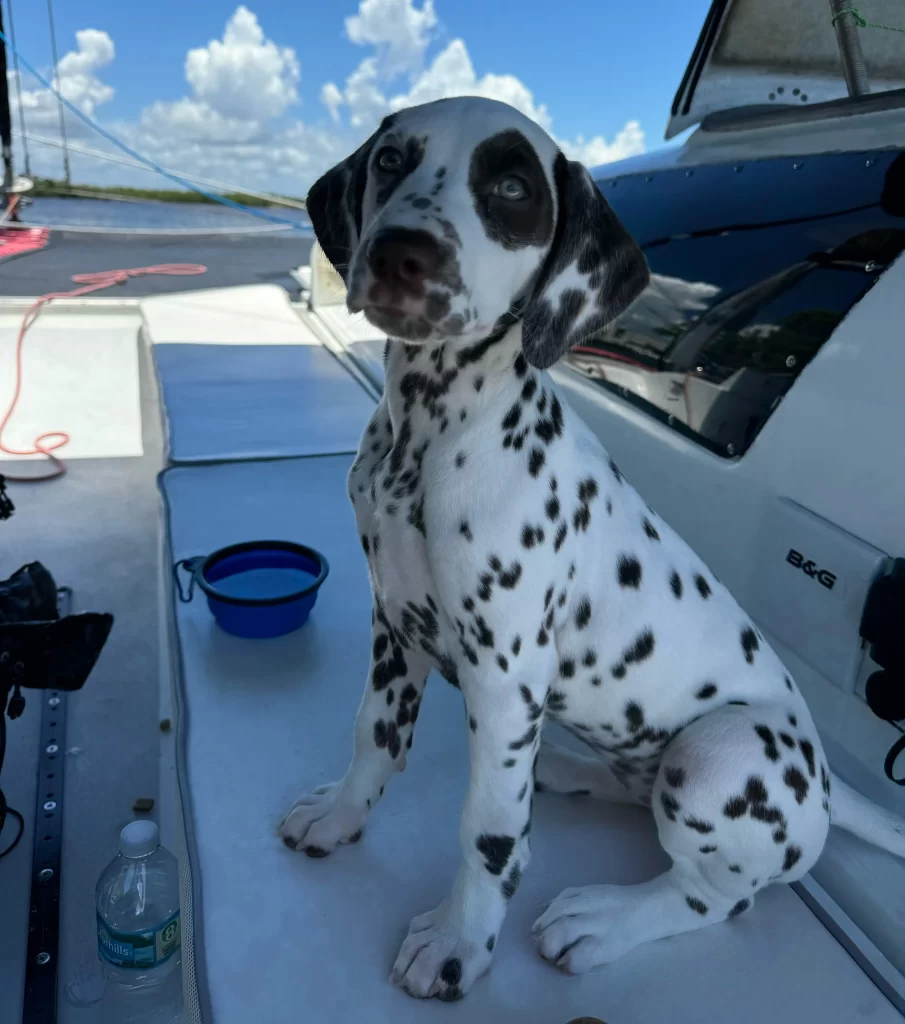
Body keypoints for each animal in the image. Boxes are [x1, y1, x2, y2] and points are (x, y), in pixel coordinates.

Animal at [280, 97, 905, 999]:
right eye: (392, 159)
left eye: (512, 188)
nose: (401, 252)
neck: (430, 433)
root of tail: (822, 773)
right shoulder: (394, 622)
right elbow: (374, 735)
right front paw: (338, 814)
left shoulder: (504, 675)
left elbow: (488, 830)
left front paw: (459, 941)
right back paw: (569, 770)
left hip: (712, 757)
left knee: (718, 897)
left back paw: (604, 918)